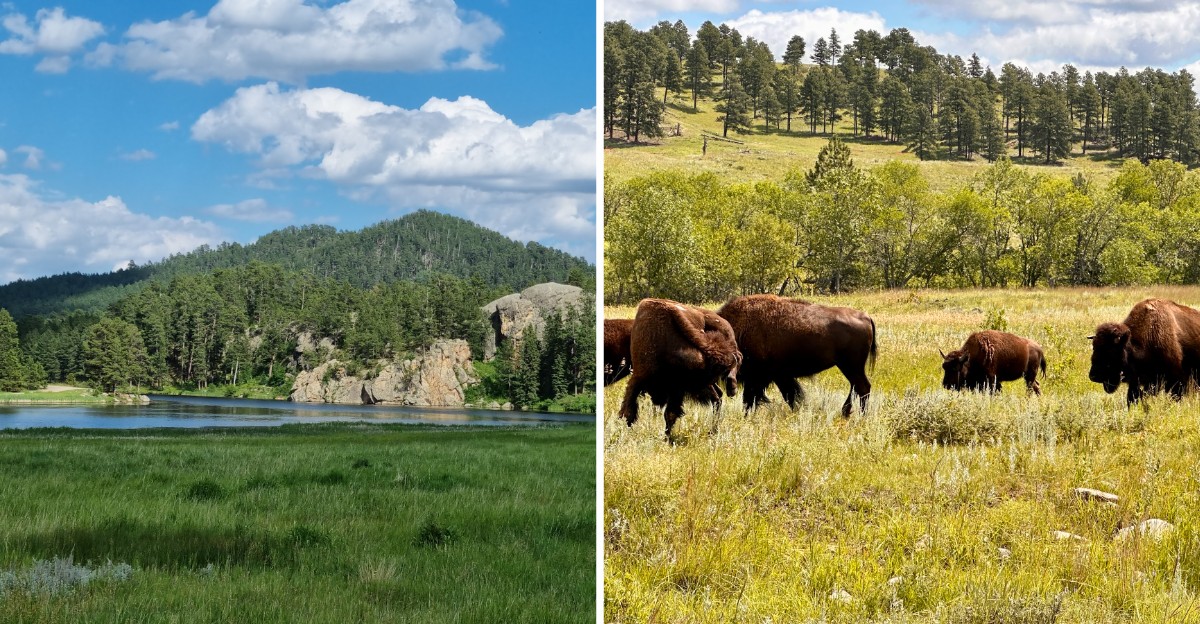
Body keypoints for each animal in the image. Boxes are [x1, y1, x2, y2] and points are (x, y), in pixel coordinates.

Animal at [618, 298, 742, 437]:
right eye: (701, 375)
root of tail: (725, 323)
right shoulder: (639, 378)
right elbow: (629, 410)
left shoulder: (677, 388)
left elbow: (670, 414)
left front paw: (667, 437)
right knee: (718, 398)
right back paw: (714, 427)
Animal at [717, 294, 877, 416]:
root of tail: (866, 316)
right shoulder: (776, 377)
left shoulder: (762, 377)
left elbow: (754, 399)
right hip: (849, 367)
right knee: (857, 387)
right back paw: (846, 412)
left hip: (851, 366)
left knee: (862, 387)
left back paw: (860, 416)